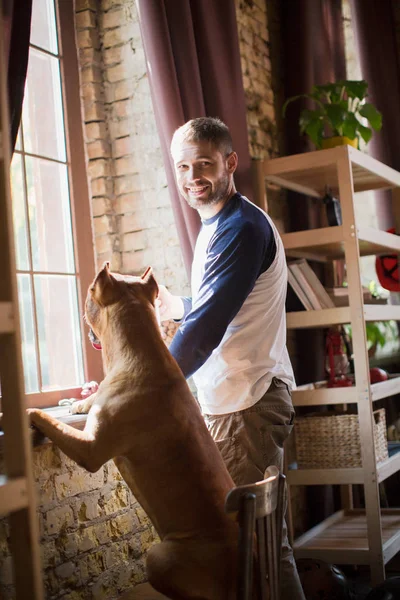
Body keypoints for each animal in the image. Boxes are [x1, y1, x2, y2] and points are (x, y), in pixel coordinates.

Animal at [28, 262, 241, 600]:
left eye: (89, 293)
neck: (142, 352)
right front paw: (80, 401)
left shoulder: (90, 448)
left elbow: (49, 421)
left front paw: (27, 411)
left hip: (159, 557)